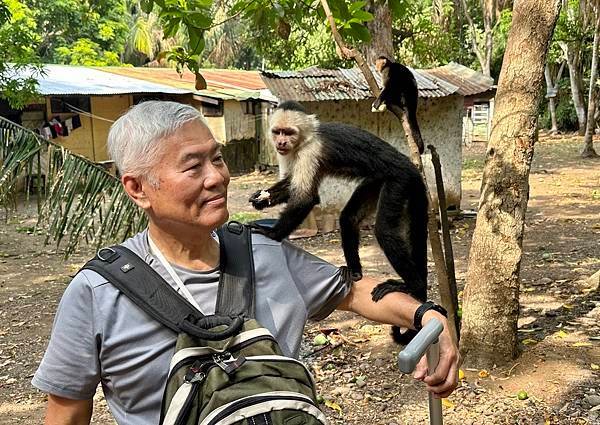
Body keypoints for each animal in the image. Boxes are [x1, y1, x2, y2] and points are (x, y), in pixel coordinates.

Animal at [251, 101, 428, 342]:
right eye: (277, 131)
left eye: (288, 132)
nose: (281, 142)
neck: (306, 139)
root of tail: (412, 166)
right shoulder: (293, 154)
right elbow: (292, 185)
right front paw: (261, 198)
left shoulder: (309, 152)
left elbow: (307, 198)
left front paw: (272, 234)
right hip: (377, 181)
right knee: (348, 218)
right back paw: (355, 272)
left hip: (399, 181)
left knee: (384, 231)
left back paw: (412, 286)